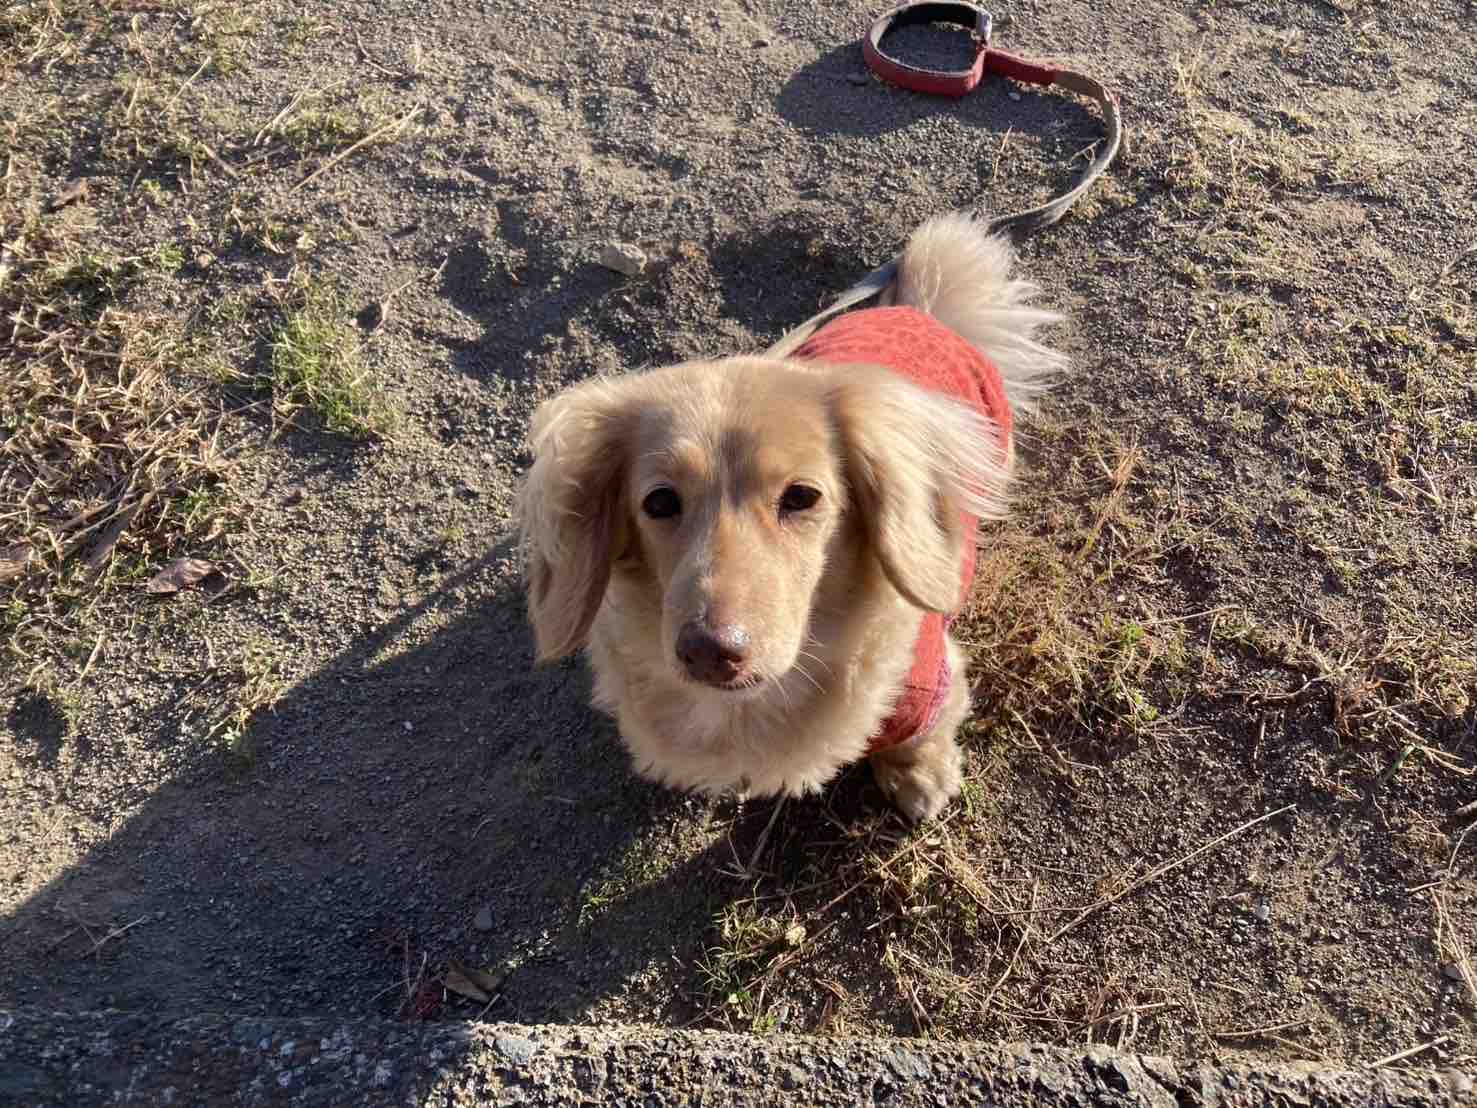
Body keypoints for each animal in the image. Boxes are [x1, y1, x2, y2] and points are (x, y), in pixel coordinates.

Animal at [517, 214, 1066, 822]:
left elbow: (922, 732)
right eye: (658, 502)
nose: (709, 652)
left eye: (802, 496)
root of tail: (916, 311)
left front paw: (919, 774)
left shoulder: (929, 683)